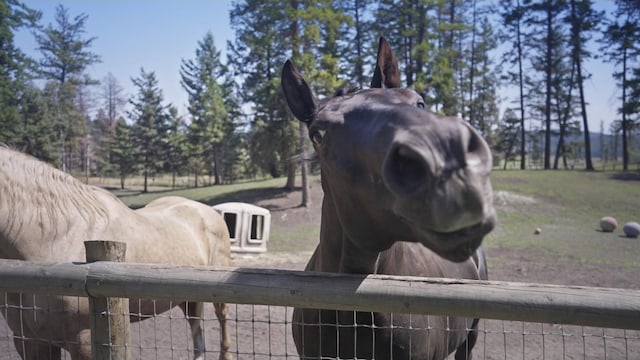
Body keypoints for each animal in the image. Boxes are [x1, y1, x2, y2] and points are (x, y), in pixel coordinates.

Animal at [0, 146, 234, 360]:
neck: (58, 236)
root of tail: (209, 210)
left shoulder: (85, 341)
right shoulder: (30, 341)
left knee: (222, 321)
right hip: (188, 298)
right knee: (197, 333)